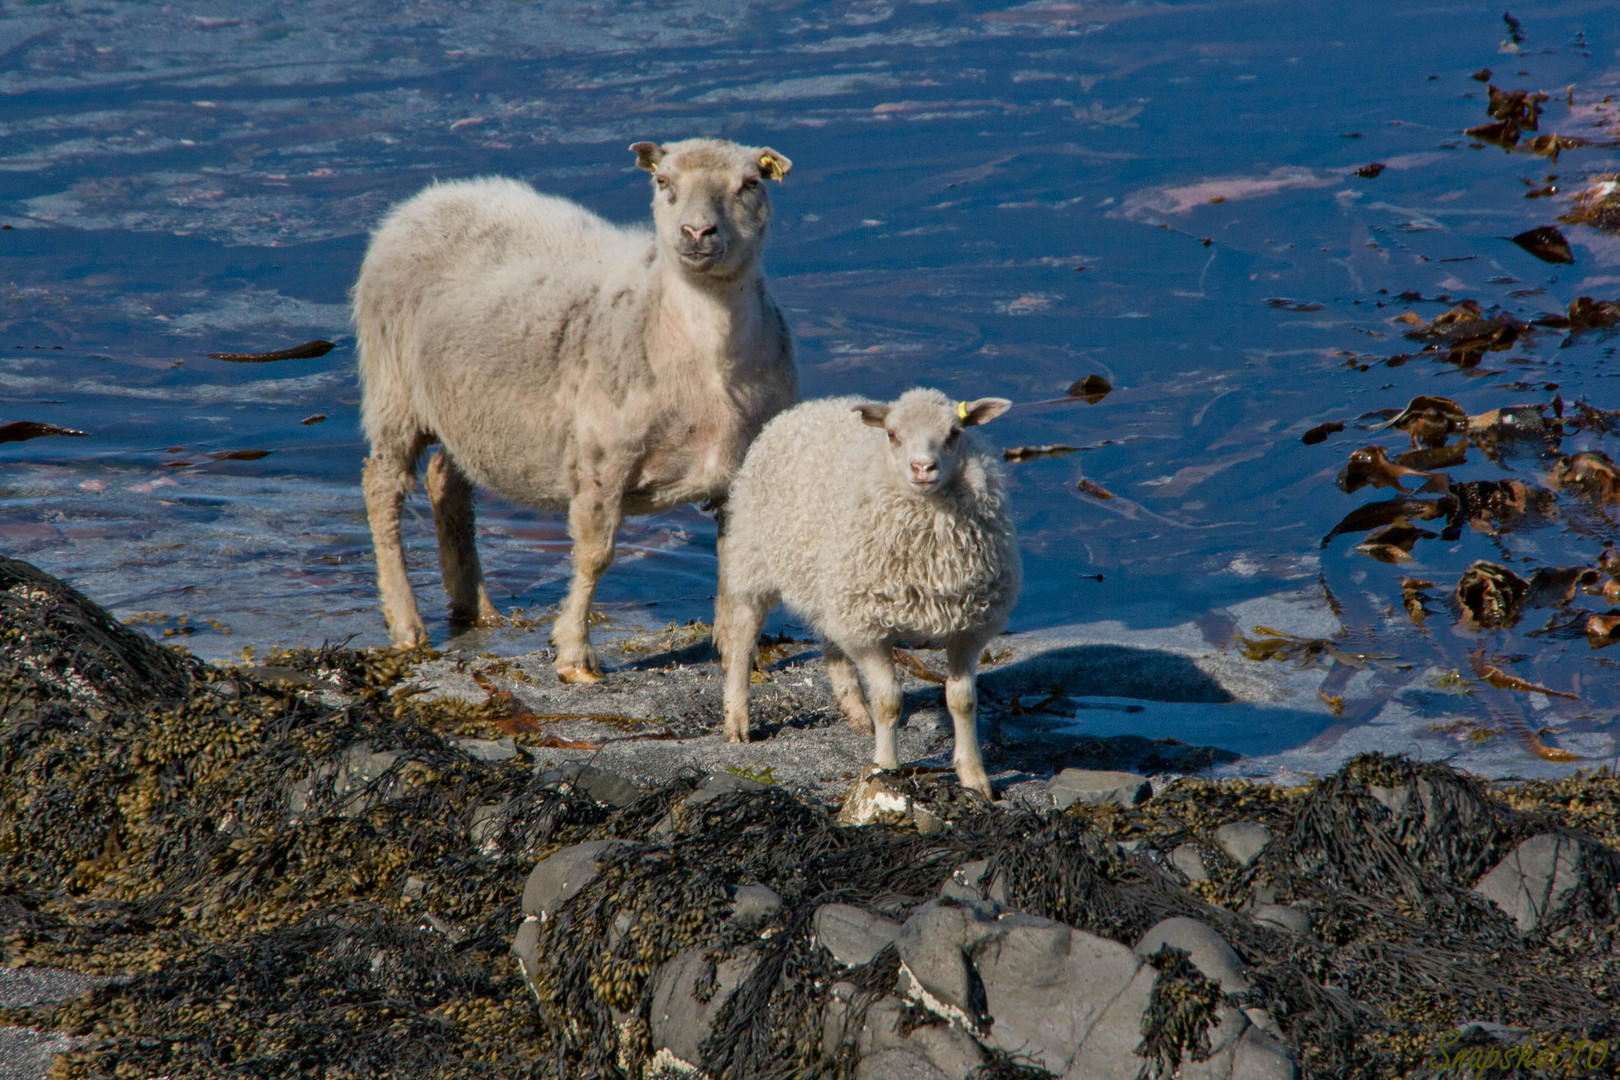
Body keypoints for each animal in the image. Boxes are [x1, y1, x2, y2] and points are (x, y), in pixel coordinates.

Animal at [353, 139, 797, 683]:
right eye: (663, 182)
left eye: (750, 184)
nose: (696, 233)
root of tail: (430, 196)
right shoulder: (602, 459)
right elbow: (593, 557)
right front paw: (575, 656)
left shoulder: (741, 471)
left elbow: (735, 565)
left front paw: (738, 650)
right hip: (392, 384)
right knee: (384, 488)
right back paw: (406, 623)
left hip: (466, 408)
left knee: (447, 483)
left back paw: (475, 607)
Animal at [716, 388, 1017, 793]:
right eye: (892, 434)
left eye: (955, 433)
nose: (923, 468)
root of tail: (813, 405)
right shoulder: (871, 629)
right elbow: (889, 701)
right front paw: (885, 768)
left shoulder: (967, 629)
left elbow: (963, 700)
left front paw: (974, 778)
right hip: (754, 556)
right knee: (743, 635)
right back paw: (737, 719)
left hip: (830, 585)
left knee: (831, 640)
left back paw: (856, 712)